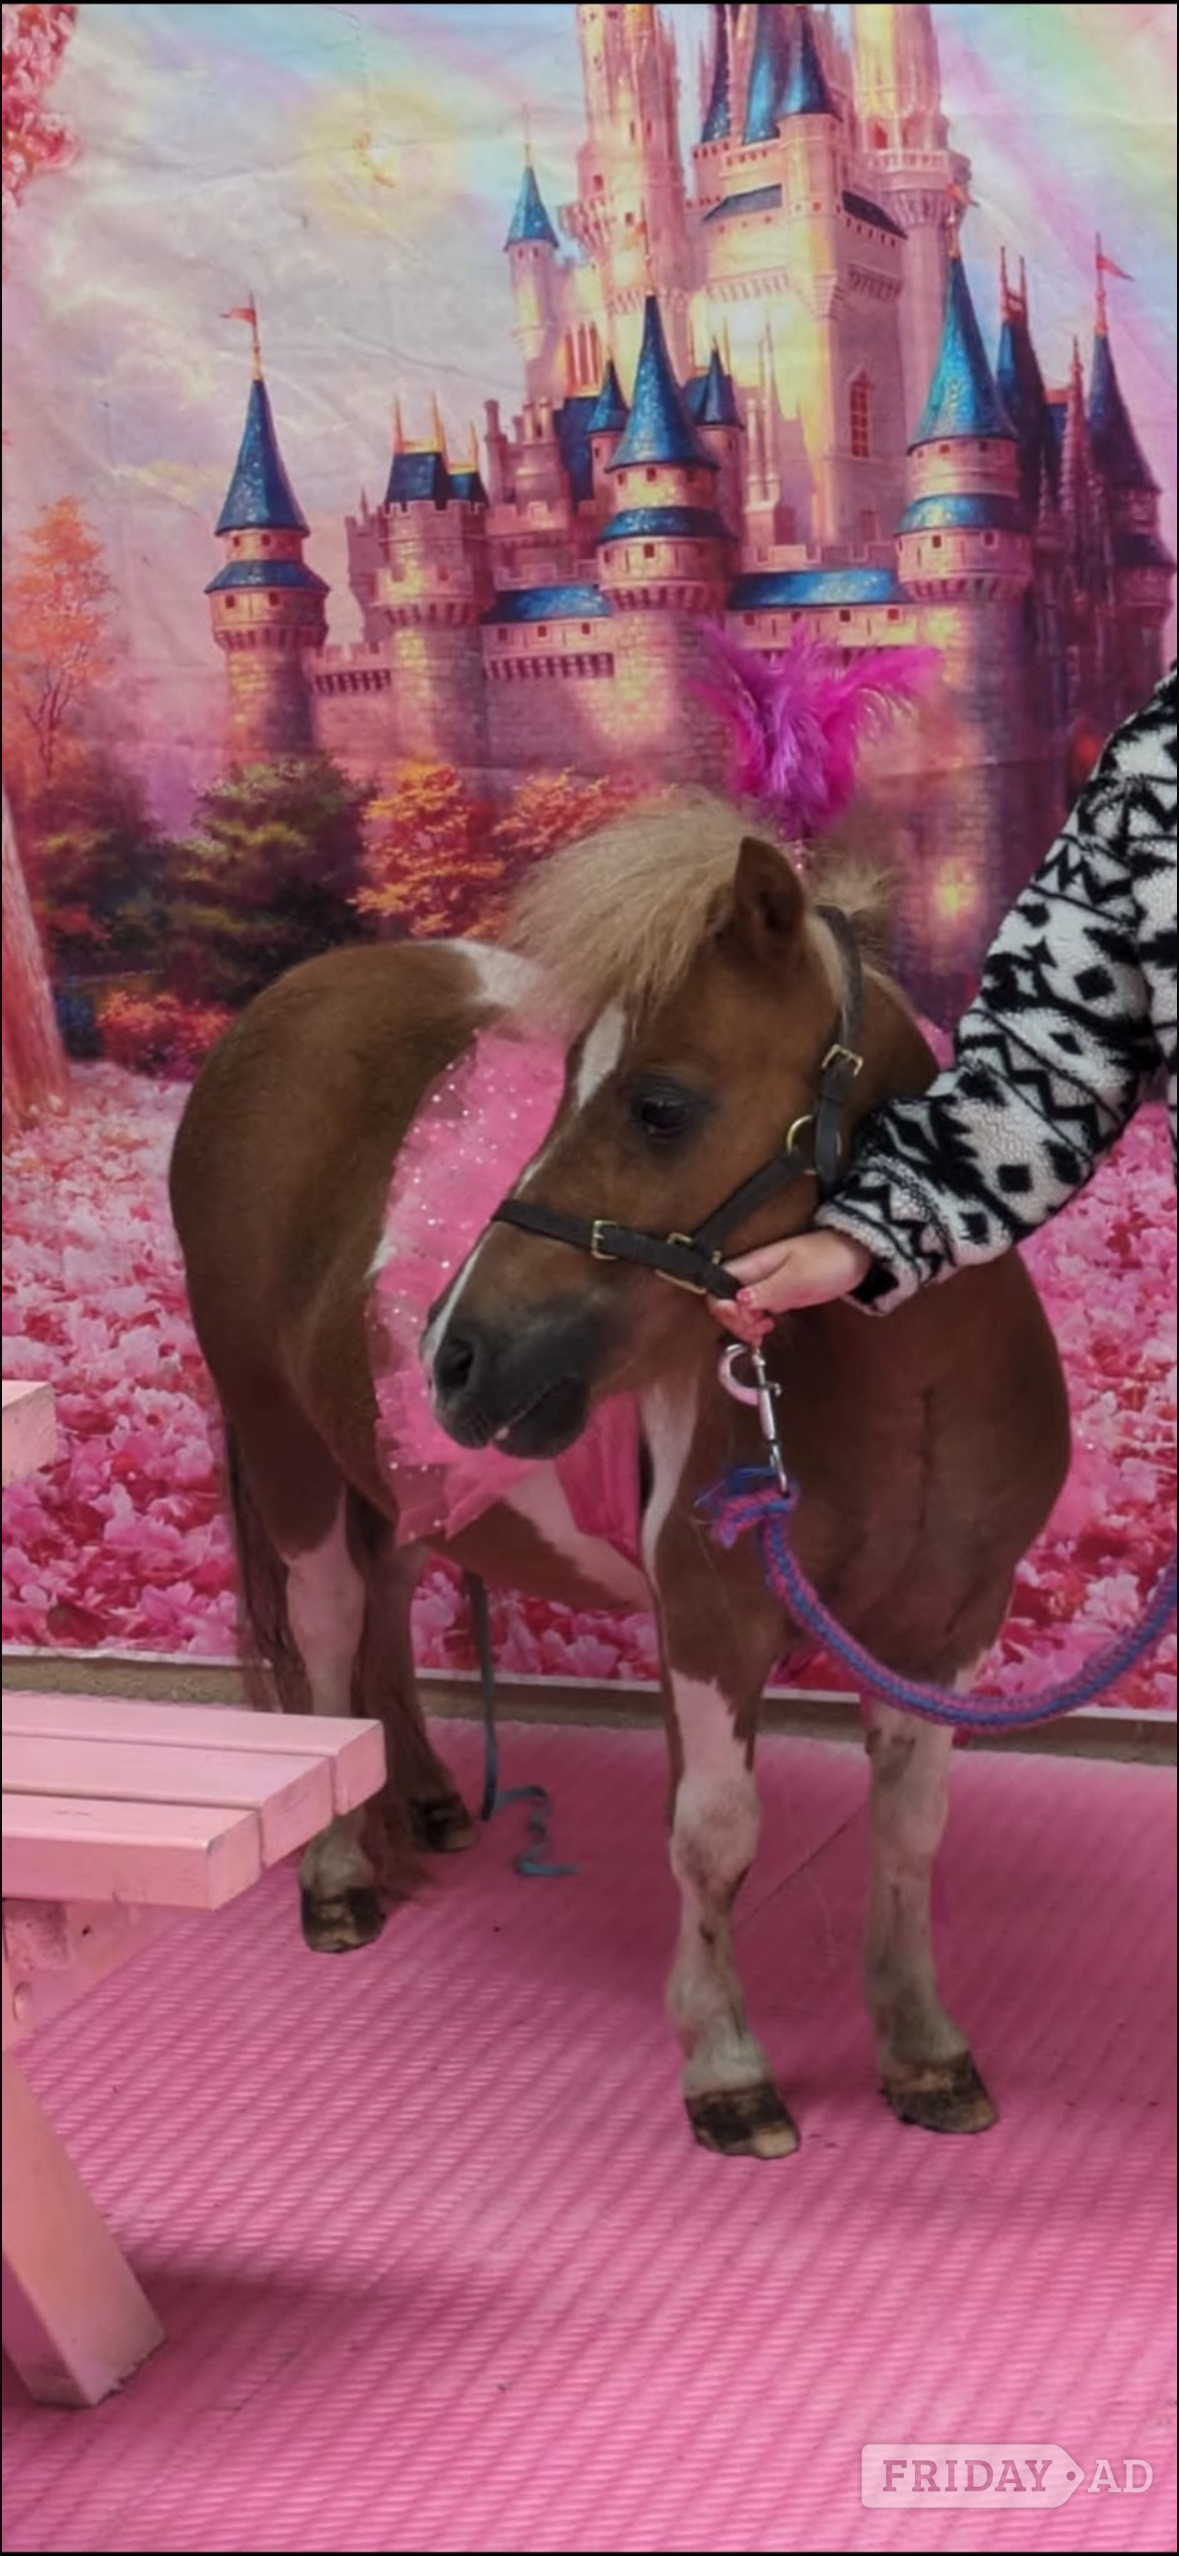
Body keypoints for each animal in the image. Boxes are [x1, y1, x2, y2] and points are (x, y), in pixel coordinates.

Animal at [170, 786, 1070, 2161]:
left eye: (659, 1105)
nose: (456, 1353)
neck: (908, 1393)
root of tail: (275, 1011)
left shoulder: (950, 1622)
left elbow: (911, 1832)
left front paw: (921, 2048)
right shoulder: (711, 1617)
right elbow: (714, 1837)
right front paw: (726, 2066)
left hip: (398, 1466)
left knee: (387, 1609)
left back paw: (425, 1797)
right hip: (288, 1449)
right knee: (327, 1636)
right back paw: (336, 1877)